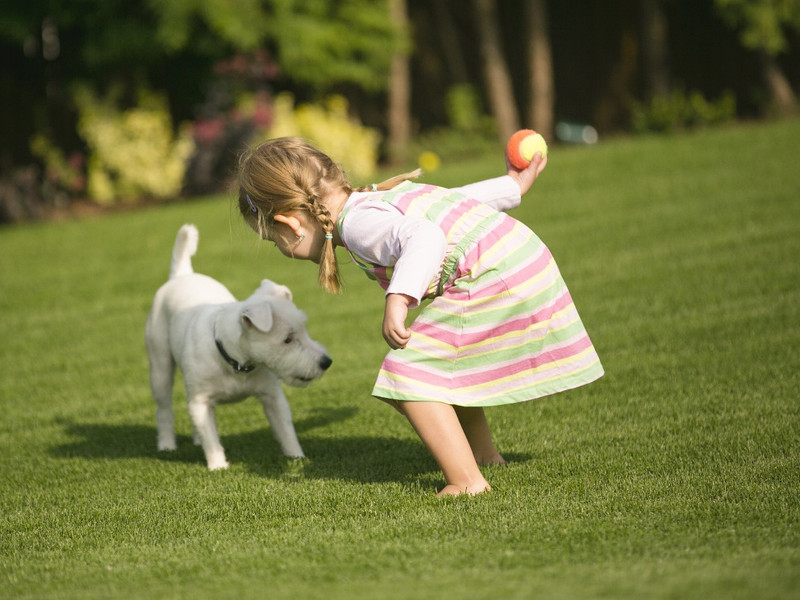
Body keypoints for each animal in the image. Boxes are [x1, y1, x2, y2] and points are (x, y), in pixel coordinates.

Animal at [145, 224, 330, 468]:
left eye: (304, 330)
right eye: (287, 339)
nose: (326, 362)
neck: (236, 362)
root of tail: (182, 275)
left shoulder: (273, 397)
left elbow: (286, 430)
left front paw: (296, 457)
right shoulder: (200, 401)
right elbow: (211, 438)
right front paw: (218, 466)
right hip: (160, 367)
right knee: (164, 409)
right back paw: (167, 444)